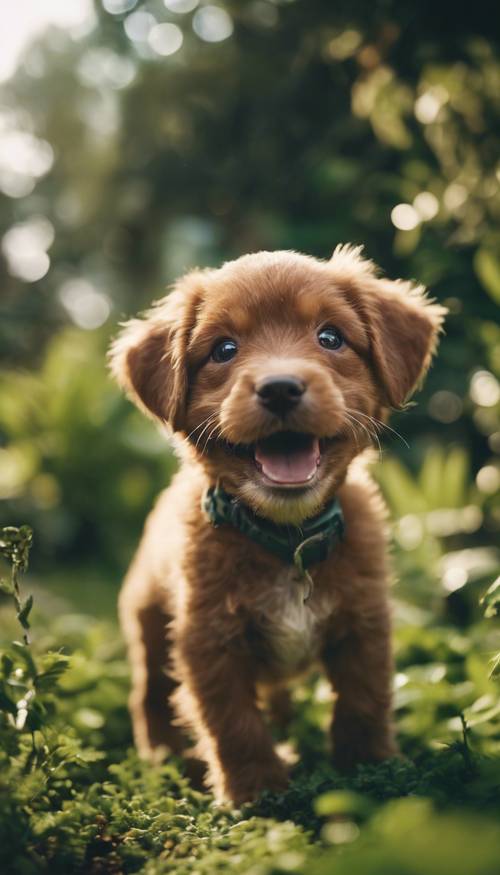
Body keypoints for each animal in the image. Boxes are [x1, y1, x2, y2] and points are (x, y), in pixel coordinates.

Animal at [110, 248, 446, 808]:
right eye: (224, 349)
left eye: (330, 338)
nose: (280, 388)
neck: (288, 539)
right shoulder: (207, 642)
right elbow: (233, 723)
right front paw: (256, 793)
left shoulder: (365, 622)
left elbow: (365, 700)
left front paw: (372, 770)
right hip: (148, 622)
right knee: (150, 693)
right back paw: (161, 754)